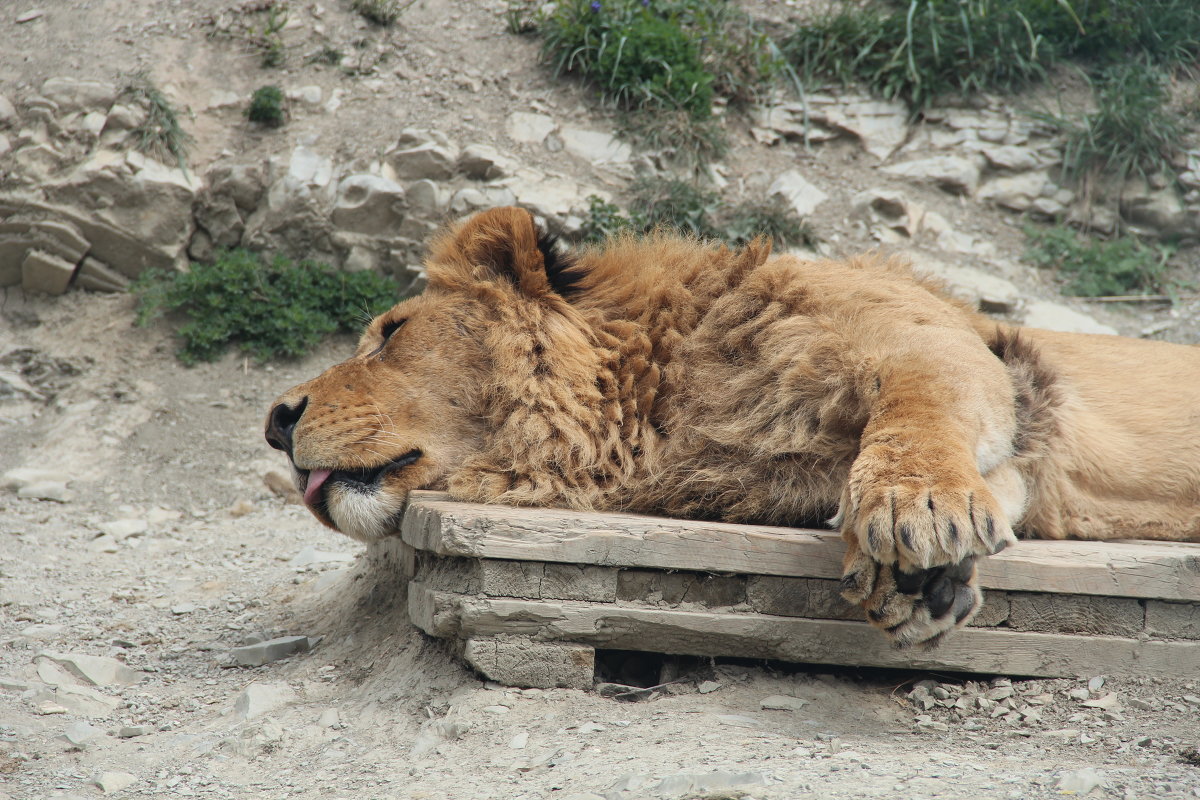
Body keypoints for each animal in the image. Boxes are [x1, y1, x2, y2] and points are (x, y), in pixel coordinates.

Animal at [267, 203, 1200, 647]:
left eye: (390, 332)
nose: (275, 420)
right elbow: (998, 481)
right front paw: (922, 585)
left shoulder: (942, 341)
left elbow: (916, 416)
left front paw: (919, 510)